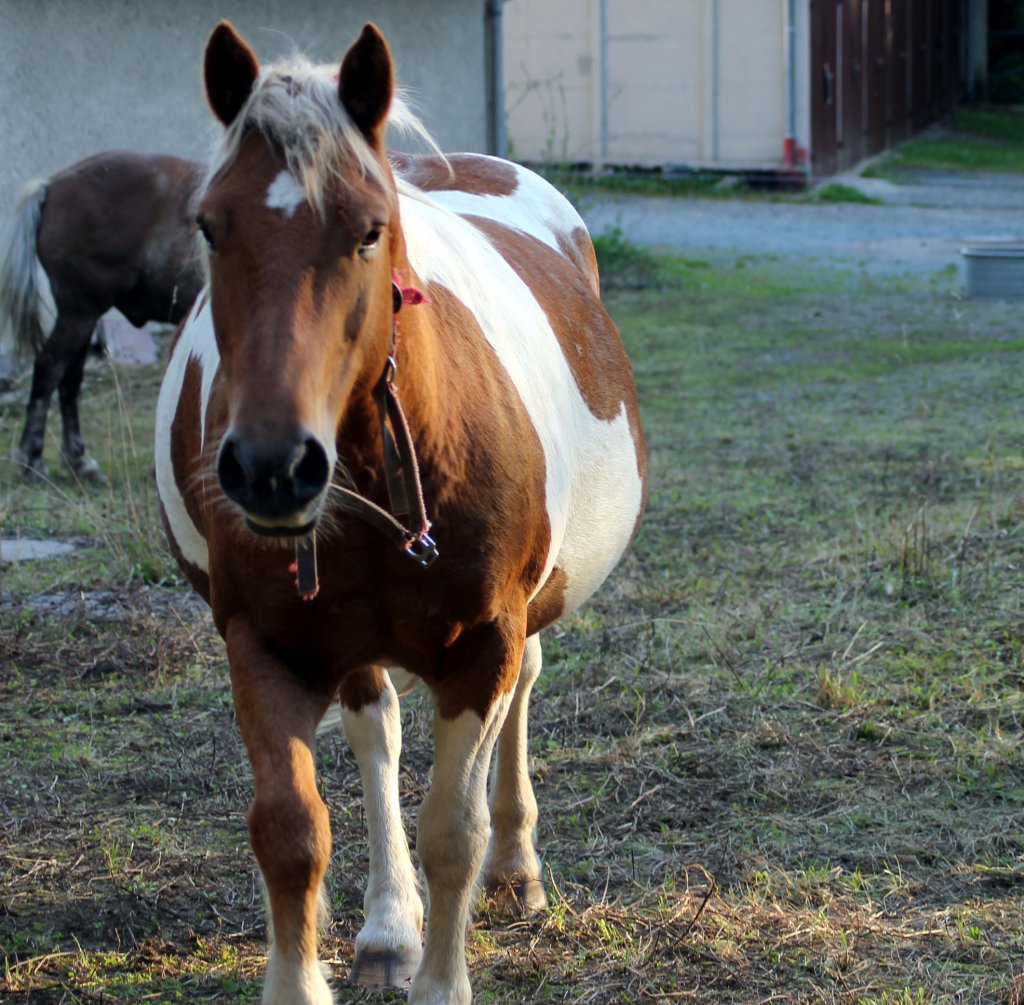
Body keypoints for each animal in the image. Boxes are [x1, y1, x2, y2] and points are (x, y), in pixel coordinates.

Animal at [0, 150, 203, 483]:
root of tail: (51, 186)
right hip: (80, 312)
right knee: (49, 370)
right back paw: (32, 461)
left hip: (84, 318)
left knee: (69, 380)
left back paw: (78, 461)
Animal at [153, 17, 647, 1003]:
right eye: (209, 227)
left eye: (370, 229)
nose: (273, 468)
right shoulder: (263, 642)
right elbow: (291, 831)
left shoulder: (484, 639)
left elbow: (453, 828)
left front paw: (450, 967)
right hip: (352, 646)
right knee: (375, 733)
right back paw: (390, 927)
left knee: (520, 699)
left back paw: (517, 870)